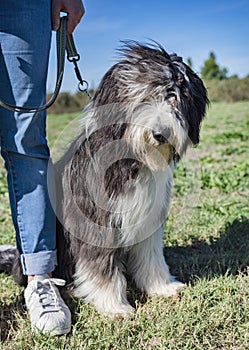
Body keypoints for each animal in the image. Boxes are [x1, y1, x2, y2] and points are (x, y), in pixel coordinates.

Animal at [0, 41, 209, 318]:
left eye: (175, 96)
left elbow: (151, 257)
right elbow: (102, 267)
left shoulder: (148, 218)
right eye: (144, 97)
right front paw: (115, 306)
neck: (132, 161)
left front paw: (162, 287)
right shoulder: (95, 222)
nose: (160, 134)